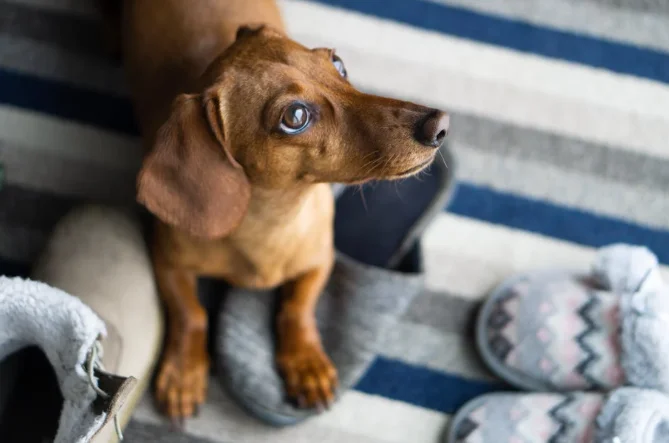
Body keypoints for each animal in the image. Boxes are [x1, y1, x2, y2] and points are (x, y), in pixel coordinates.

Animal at [102, 0, 448, 424]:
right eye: (295, 116)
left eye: (338, 64)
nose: (439, 124)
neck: (270, 223)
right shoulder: (166, 261)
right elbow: (191, 313)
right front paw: (184, 373)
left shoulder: (320, 260)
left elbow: (297, 309)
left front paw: (307, 365)